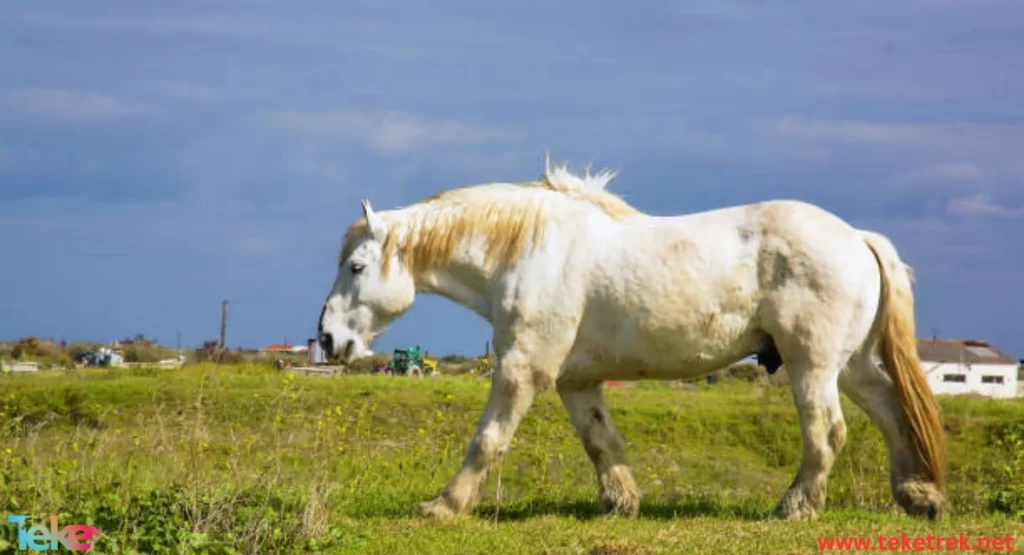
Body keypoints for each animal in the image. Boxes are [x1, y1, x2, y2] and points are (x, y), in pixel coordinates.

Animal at [315, 158, 946, 524]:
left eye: (356, 266)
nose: (327, 338)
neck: (529, 250)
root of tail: (856, 237)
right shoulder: (576, 380)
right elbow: (602, 443)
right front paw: (621, 503)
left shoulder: (521, 370)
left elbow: (487, 441)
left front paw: (443, 507)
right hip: (851, 365)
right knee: (891, 413)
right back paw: (919, 497)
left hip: (811, 365)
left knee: (828, 433)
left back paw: (795, 508)